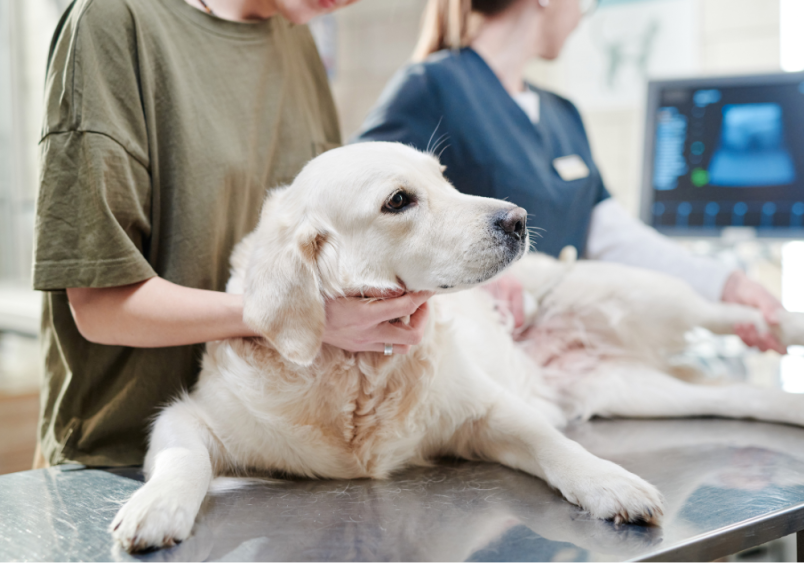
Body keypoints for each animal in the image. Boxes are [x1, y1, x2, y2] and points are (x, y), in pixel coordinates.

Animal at [110, 141, 804, 552]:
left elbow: (559, 448)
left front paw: (612, 483)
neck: (360, 371)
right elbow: (184, 458)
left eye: (445, 180)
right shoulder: (191, 417)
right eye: (399, 200)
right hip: (635, 389)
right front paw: (156, 507)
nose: (517, 219)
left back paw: (779, 320)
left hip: (645, 294)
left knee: (729, 311)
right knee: (738, 396)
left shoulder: (487, 411)